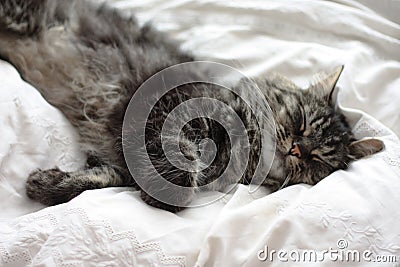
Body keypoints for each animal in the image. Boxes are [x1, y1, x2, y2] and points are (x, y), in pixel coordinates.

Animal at [0, 0, 382, 214]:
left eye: (318, 159)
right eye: (300, 121)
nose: (298, 149)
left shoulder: (121, 162)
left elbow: (103, 179)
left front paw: (46, 184)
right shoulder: (159, 108)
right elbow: (178, 163)